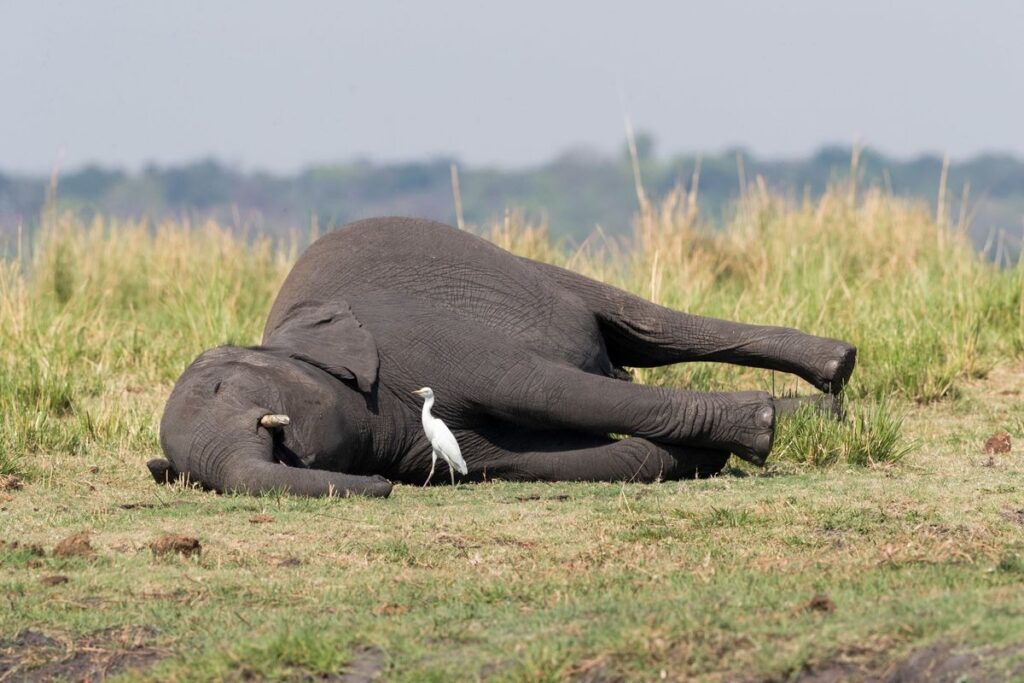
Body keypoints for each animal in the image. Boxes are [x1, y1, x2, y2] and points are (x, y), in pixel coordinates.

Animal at [149, 217, 856, 498]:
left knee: (644, 326)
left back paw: (837, 370)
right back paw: (828, 409)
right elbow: (553, 460)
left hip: (535, 270)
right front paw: (702, 455)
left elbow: (541, 388)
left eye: (224, 388)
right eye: (186, 475)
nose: (380, 486)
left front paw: (757, 429)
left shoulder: (418, 341)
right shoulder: (426, 442)